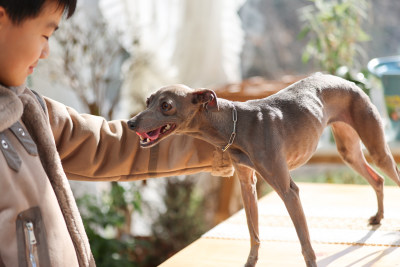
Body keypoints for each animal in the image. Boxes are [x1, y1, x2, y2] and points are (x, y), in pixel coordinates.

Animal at [128, 74, 400, 267]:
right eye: (148, 101)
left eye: (166, 105)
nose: (130, 123)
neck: (234, 124)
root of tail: (348, 81)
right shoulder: (248, 186)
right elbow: (254, 233)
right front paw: (250, 262)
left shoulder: (288, 190)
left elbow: (305, 243)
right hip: (349, 152)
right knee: (377, 179)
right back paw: (378, 217)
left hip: (376, 147)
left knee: (391, 174)